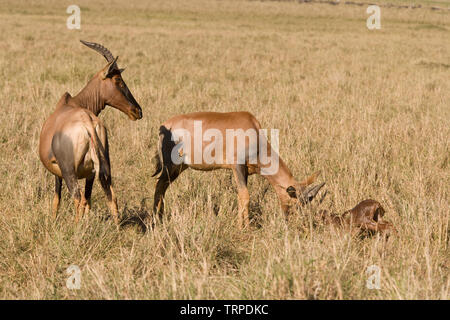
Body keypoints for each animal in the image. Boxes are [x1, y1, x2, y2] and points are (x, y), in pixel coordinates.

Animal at [40, 40, 143, 224]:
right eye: (118, 79)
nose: (138, 111)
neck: (71, 103)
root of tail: (88, 122)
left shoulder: (58, 171)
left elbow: (57, 198)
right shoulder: (90, 173)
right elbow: (89, 201)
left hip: (69, 172)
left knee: (78, 198)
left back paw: (75, 227)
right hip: (102, 169)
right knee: (110, 197)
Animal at [151, 111, 324, 226]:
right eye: (297, 204)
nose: (298, 225)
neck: (254, 132)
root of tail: (166, 126)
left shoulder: (245, 171)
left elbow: (241, 196)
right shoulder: (237, 166)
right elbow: (246, 196)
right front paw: (246, 228)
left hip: (180, 167)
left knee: (162, 187)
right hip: (171, 165)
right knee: (159, 186)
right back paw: (156, 219)